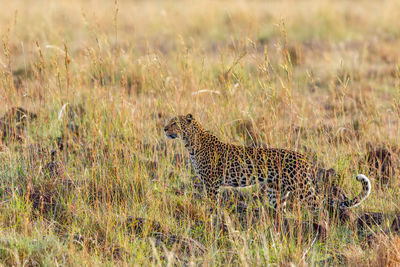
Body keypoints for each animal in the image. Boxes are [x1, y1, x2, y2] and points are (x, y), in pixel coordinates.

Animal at [164, 114, 370, 213]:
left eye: (174, 123)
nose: (164, 128)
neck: (191, 143)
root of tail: (305, 158)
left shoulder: (211, 183)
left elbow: (212, 204)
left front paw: (211, 219)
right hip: (276, 191)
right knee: (282, 211)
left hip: (302, 189)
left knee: (318, 207)